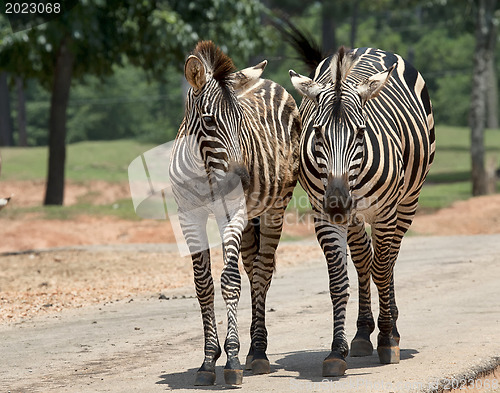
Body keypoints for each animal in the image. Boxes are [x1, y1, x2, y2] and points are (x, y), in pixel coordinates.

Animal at [168, 41, 300, 384]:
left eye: (241, 122)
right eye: (209, 121)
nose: (244, 179)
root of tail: (269, 81)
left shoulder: (232, 213)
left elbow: (229, 280)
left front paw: (231, 358)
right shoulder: (189, 217)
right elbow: (203, 285)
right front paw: (207, 360)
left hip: (273, 210)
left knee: (262, 273)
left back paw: (258, 353)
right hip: (251, 218)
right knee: (253, 270)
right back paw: (253, 349)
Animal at [290, 47, 434, 376]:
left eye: (360, 133)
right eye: (317, 133)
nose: (337, 202)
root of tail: (369, 48)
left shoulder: (385, 212)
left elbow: (382, 269)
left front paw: (387, 339)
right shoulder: (323, 216)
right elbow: (339, 282)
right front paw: (336, 351)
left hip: (407, 203)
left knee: (388, 260)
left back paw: (391, 327)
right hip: (356, 219)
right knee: (364, 259)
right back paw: (362, 332)